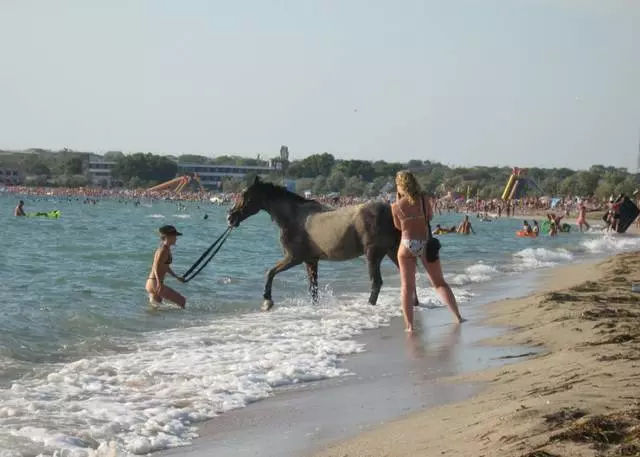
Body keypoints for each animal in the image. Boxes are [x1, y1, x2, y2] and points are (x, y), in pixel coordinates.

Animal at [225, 176, 416, 312]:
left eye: (244, 196)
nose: (230, 217)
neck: (294, 217)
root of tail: (392, 210)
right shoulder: (310, 261)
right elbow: (313, 289)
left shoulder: (293, 258)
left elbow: (270, 272)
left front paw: (267, 300)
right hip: (392, 251)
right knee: (407, 274)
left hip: (373, 254)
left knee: (376, 283)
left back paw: (370, 306)